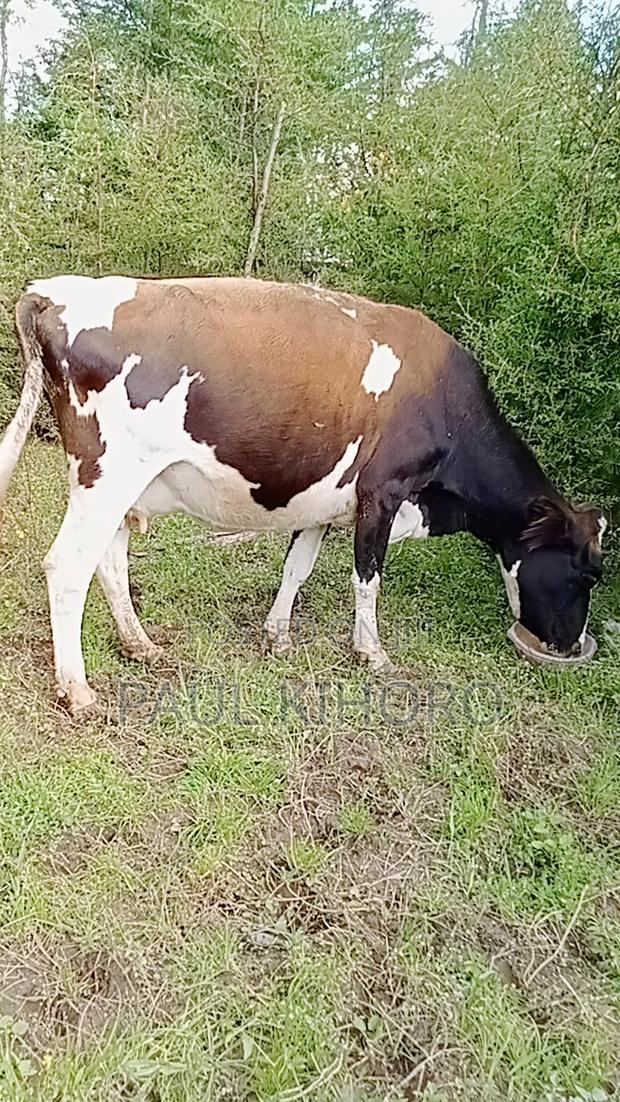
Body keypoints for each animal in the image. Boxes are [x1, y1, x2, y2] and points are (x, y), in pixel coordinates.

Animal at [0, 275, 606, 713]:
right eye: (586, 574)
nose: (569, 644)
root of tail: (53, 290)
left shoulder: (326, 499)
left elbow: (298, 566)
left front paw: (278, 635)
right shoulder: (382, 493)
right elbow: (367, 578)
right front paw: (373, 654)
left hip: (121, 484)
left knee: (109, 559)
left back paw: (139, 644)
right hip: (108, 471)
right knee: (67, 566)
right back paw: (78, 690)